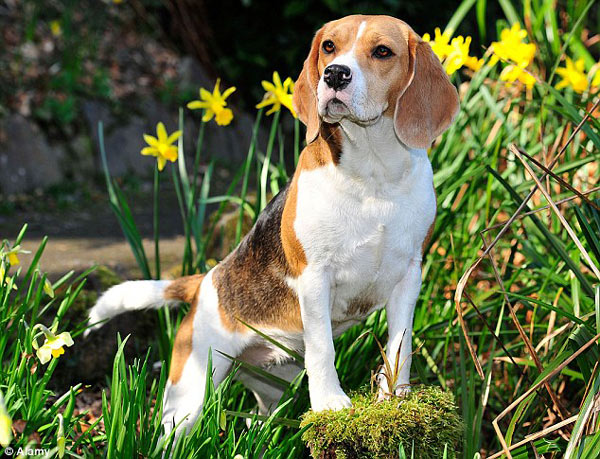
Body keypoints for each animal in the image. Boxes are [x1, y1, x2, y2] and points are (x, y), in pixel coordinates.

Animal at [85, 14, 460, 438]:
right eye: (329, 46)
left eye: (383, 51)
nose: (334, 74)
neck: (372, 175)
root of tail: (206, 279)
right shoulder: (314, 277)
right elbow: (323, 347)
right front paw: (331, 403)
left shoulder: (409, 274)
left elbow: (401, 345)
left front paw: (395, 397)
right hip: (190, 394)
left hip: (272, 388)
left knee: (260, 421)